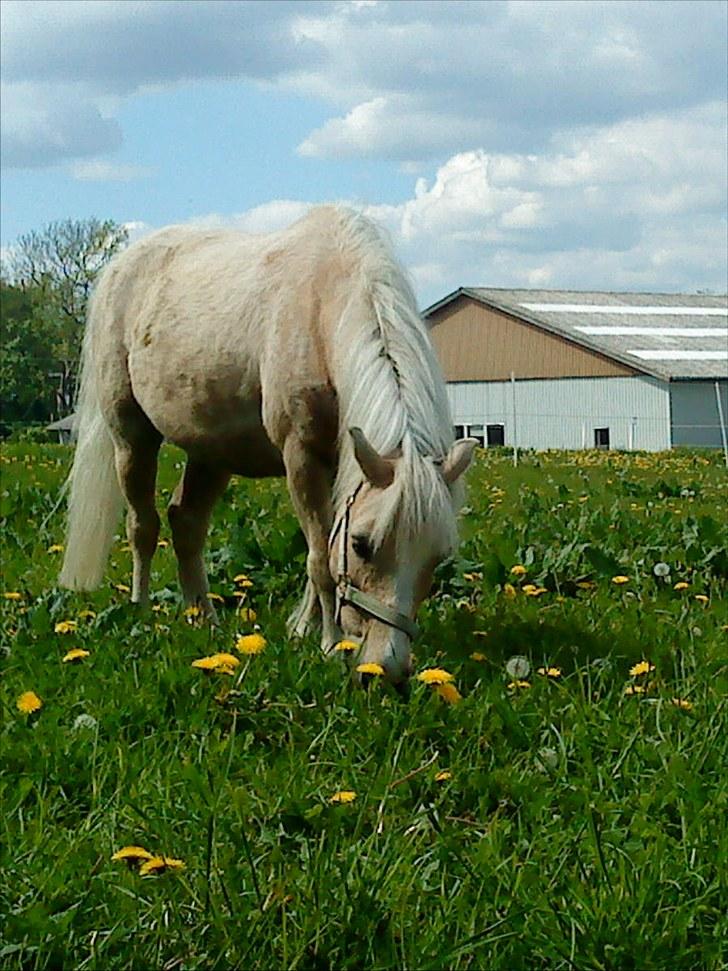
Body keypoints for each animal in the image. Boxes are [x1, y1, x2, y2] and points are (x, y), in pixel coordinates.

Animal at [58, 207, 478, 684]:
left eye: (437, 557)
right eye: (361, 544)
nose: (386, 668)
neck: (321, 307)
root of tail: (118, 268)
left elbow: (319, 549)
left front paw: (305, 629)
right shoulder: (302, 456)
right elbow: (320, 559)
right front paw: (329, 643)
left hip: (211, 452)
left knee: (186, 524)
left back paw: (202, 618)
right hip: (131, 437)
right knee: (142, 526)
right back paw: (142, 611)